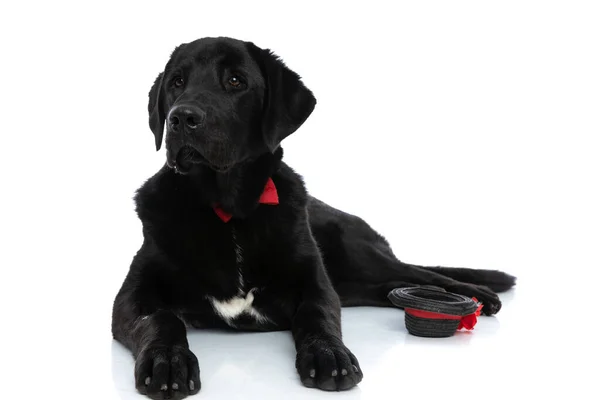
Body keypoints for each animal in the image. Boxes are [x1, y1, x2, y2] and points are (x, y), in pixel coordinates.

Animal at [111, 36, 516, 398]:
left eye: (236, 81)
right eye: (177, 82)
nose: (181, 117)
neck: (230, 213)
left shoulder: (316, 284)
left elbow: (316, 315)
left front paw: (329, 355)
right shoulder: (133, 295)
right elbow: (160, 318)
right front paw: (167, 361)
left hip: (356, 252)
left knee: (421, 273)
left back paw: (478, 294)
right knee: (397, 284)